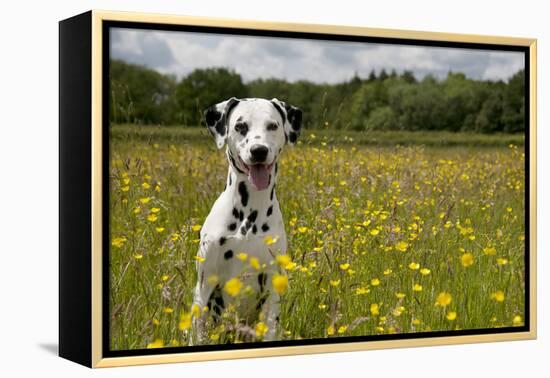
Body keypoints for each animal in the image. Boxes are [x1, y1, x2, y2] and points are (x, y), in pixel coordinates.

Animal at [192, 96, 304, 342]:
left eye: (272, 125)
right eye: (240, 126)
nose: (259, 150)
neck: (248, 215)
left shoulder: (271, 286)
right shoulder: (205, 285)